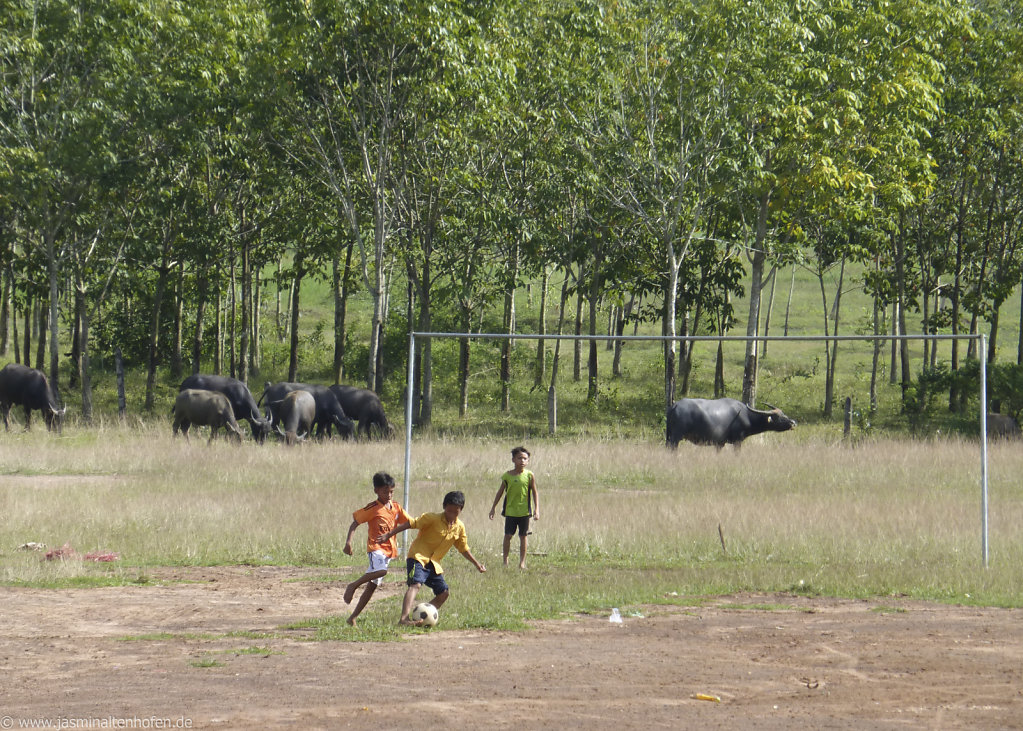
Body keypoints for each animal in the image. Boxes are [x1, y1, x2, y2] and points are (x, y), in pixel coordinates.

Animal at [662, 396, 797, 449]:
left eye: (783, 413)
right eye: (778, 417)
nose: (793, 422)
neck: (746, 415)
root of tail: (675, 406)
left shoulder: (719, 443)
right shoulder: (737, 441)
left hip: (669, 436)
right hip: (676, 437)